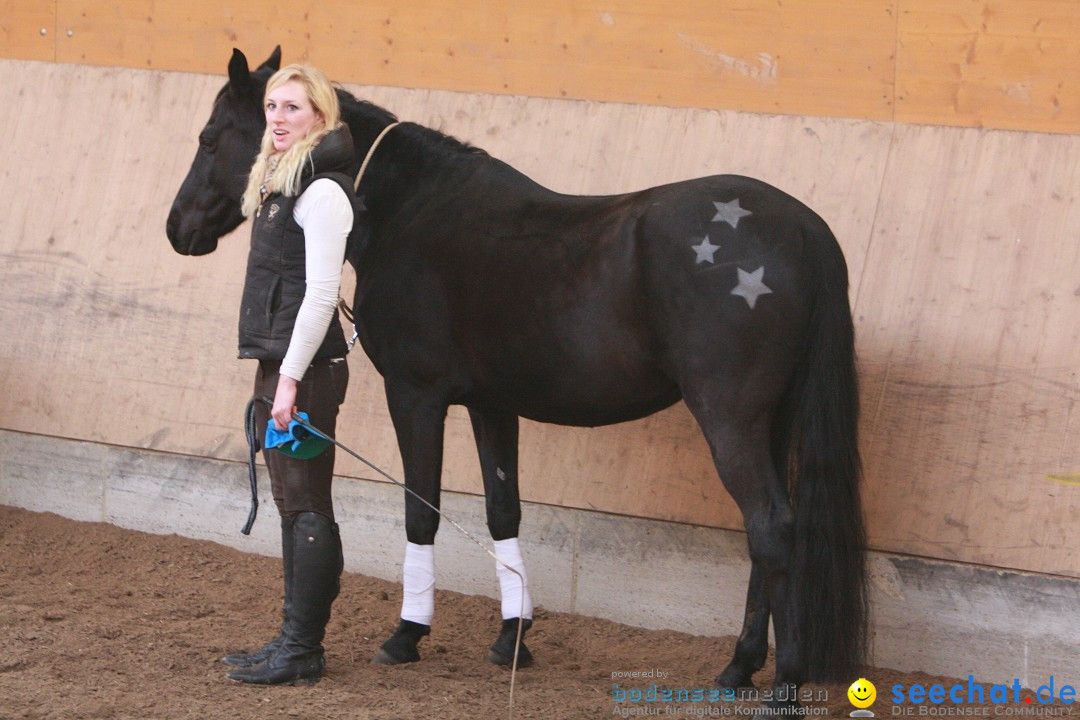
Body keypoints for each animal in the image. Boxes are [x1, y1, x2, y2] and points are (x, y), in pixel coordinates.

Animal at [166, 47, 868, 699]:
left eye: (210, 138)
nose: (178, 230)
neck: (407, 210)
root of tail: (804, 228)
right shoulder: (491, 403)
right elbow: (504, 512)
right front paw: (512, 639)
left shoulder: (415, 396)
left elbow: (421, 511)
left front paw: (406, 636)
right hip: (770, 424)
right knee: (762, 538)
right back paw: (738, 667)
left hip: (731, 418)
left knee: (772, 529)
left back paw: (784, 681)